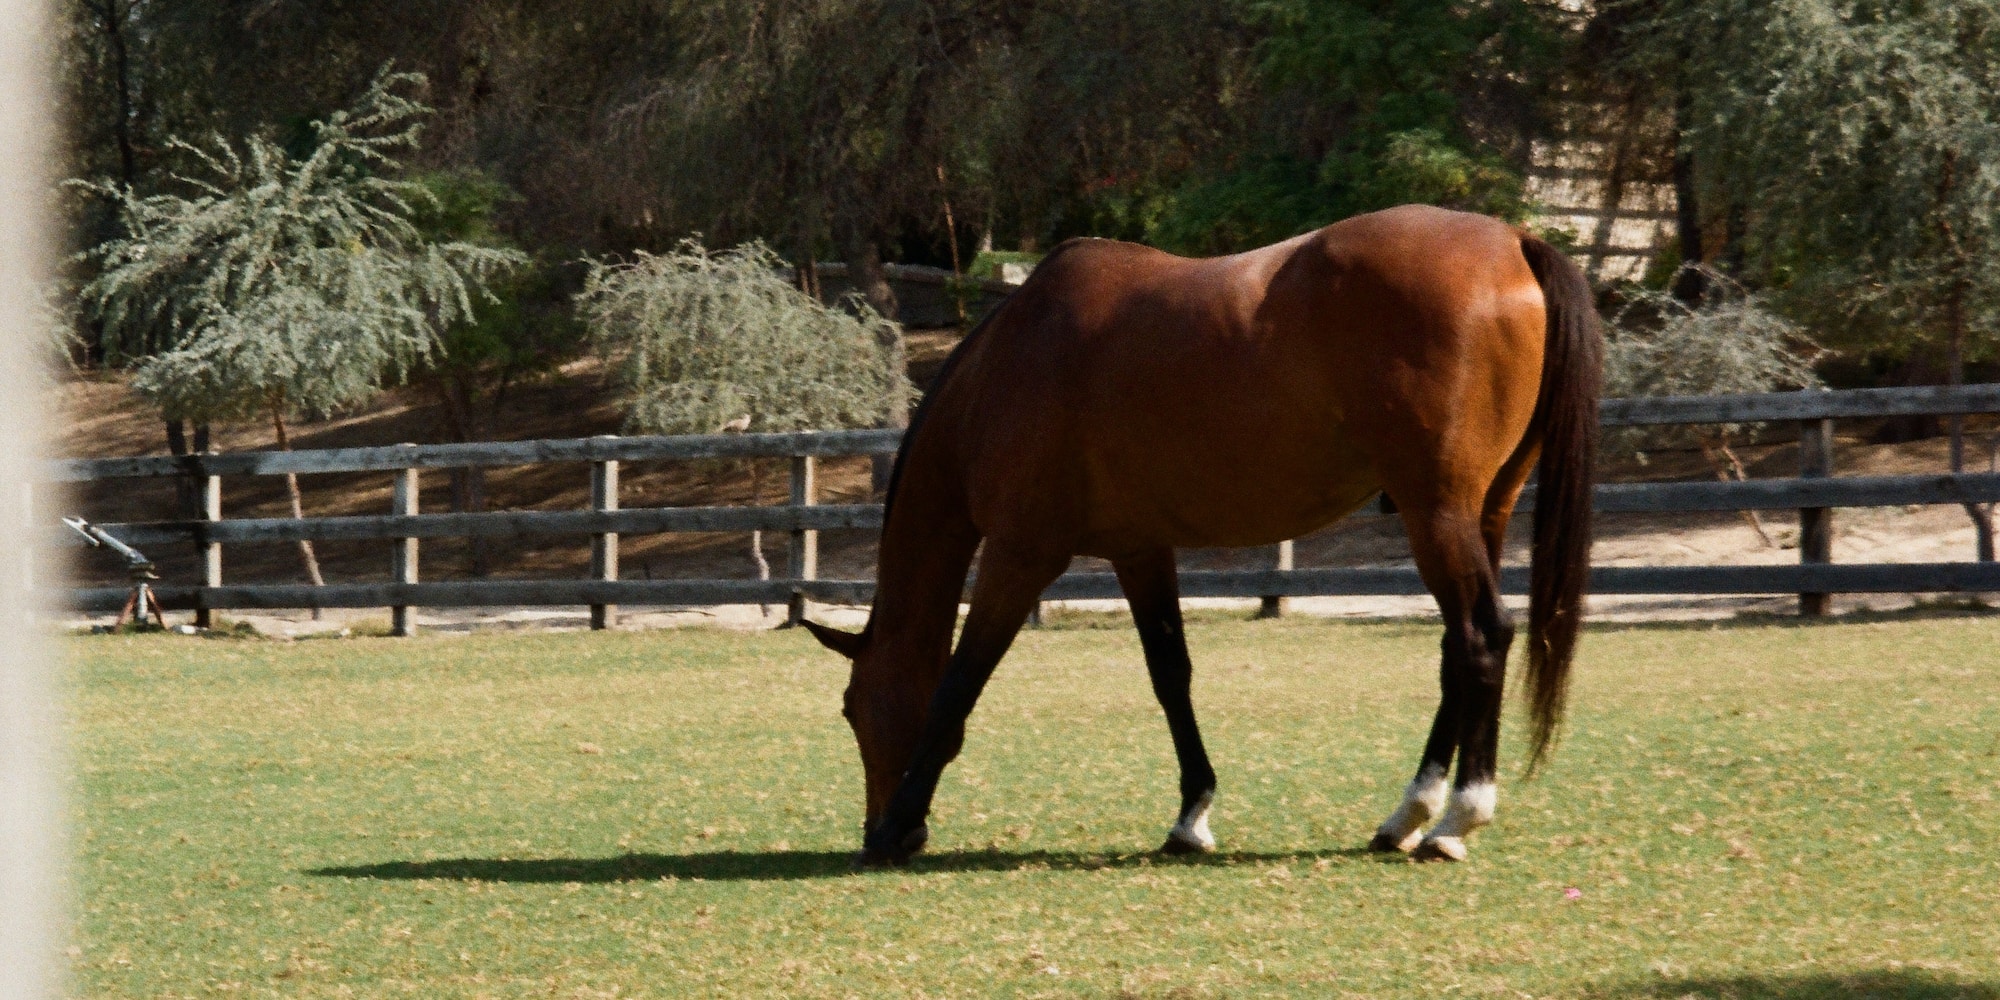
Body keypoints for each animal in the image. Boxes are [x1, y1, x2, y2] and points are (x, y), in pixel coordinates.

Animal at [803, 203, 1601, 865]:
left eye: (851, 707)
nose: (872, 830)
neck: (1004, 369)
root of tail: (1513, 242)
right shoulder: (1139, 550)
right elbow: (1171, 675)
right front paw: (1191, 816)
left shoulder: (1019, 556)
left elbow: (959, 684)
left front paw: (901, 819)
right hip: (1481, 512)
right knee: (1455, 654)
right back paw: (1408, 814)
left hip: (1435, 512)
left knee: (1481, 637)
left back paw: (1457, 818)